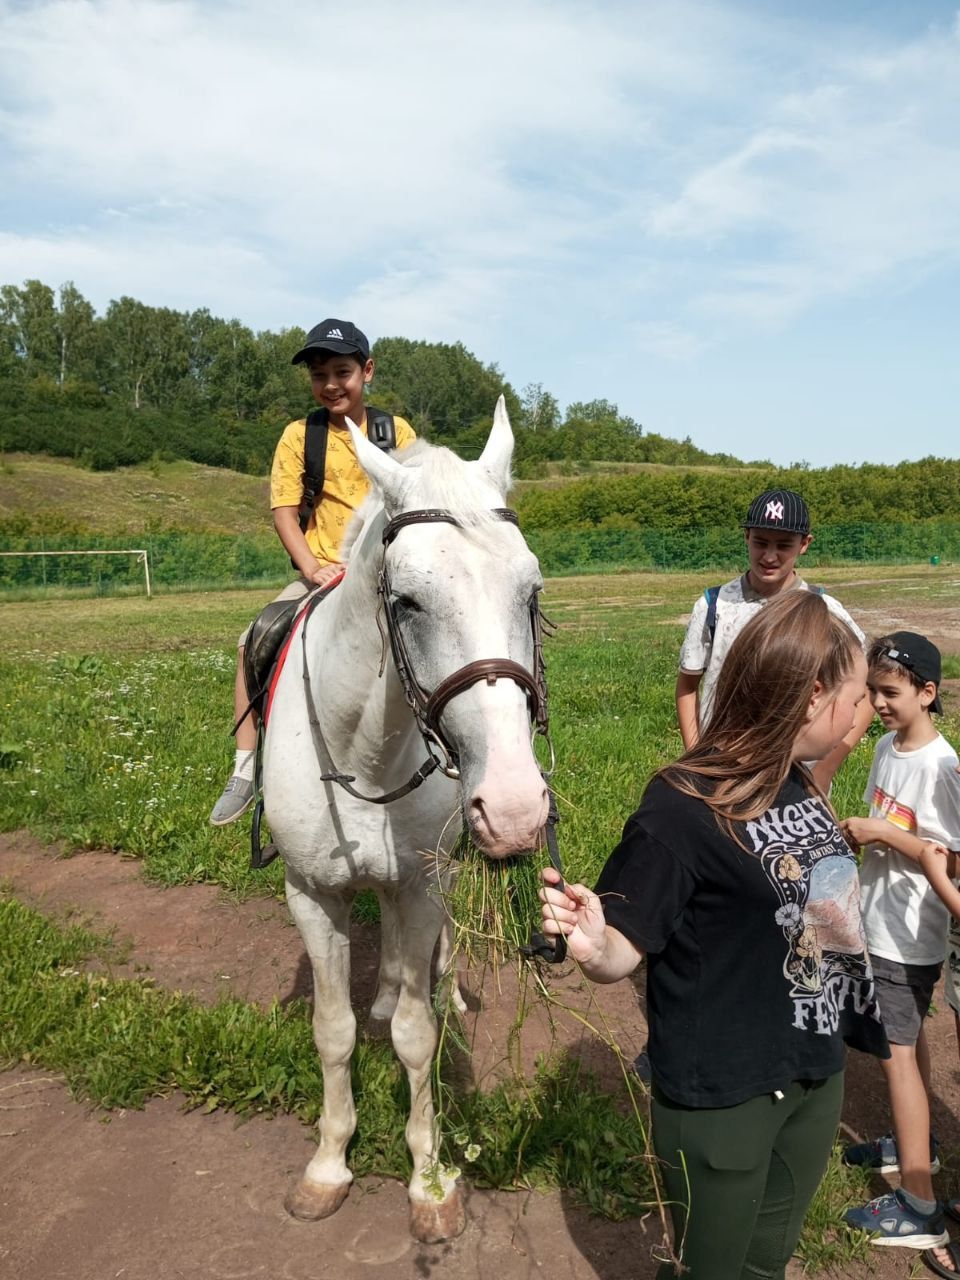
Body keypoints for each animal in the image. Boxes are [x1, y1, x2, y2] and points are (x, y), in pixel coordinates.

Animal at [263, 396, 547, 1239]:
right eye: (407, 600)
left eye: (531, 591)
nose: (514, 807)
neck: (365, 752)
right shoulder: (311, 894)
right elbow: (334, 1032)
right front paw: (328, 1165)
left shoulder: (421, 883)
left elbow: (417, 1038)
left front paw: (428, 1180)